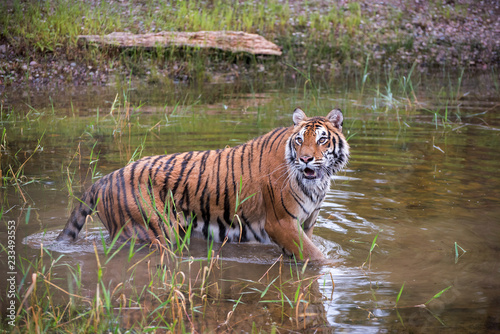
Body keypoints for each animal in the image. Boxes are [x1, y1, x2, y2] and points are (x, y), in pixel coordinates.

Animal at [56, 107, 350, 260]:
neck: (317, 183)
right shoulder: (281, 223)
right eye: (299, 140)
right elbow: (317, 258)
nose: (305, 159)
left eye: (322, 139)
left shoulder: (306, 224)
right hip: (153, 232)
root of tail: (106, 178)